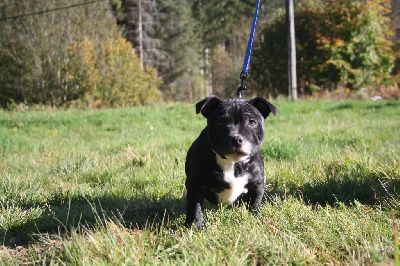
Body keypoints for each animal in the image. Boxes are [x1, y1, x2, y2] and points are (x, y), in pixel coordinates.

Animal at [184, 95, 276, 229]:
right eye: (219, 123)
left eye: (252, 122)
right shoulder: (196, 185)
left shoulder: (257, 185)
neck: (234, 163)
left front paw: (255, 220)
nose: (236, 139)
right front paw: (194, 227)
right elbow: (194, 207)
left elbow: (255, 204)